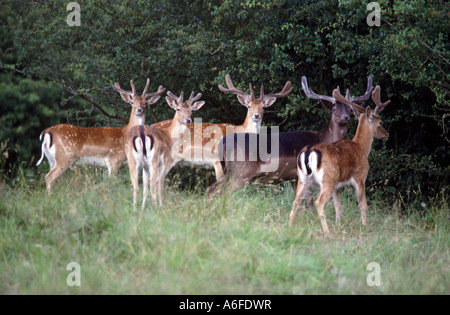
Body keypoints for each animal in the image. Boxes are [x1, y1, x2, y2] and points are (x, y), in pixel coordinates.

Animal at [35, 79, 165, 193]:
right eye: (132, 102)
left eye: (145, 103)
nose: (139, 109)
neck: (125, 133)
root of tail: (45, 132)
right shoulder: (114, 160)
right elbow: (112, 183)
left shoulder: (105, 166)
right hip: (64, 157)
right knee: (49, 177)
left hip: (52, 159)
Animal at [207, 76, 372, 199]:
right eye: (334, 109)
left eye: (349, 109)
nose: (345, 117)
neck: (322, 139)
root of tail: (223, 143)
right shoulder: (303, 174)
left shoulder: (293, 177)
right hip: (241, 173)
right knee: (223, 194)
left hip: (228, 172)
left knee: (210, 190)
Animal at [288, 85, 390, 236]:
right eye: (380, 122)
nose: (386, 134)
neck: (361, 148)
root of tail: (308, 152)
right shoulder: (360, 178)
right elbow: (363, 204)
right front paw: (364, 226)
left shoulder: (338, 187)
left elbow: (339, 208)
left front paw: (338, 226)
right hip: (328, 179)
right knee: (318, 202)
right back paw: (326, 231)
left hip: (302, 179)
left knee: (296, 202)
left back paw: (289, 226)